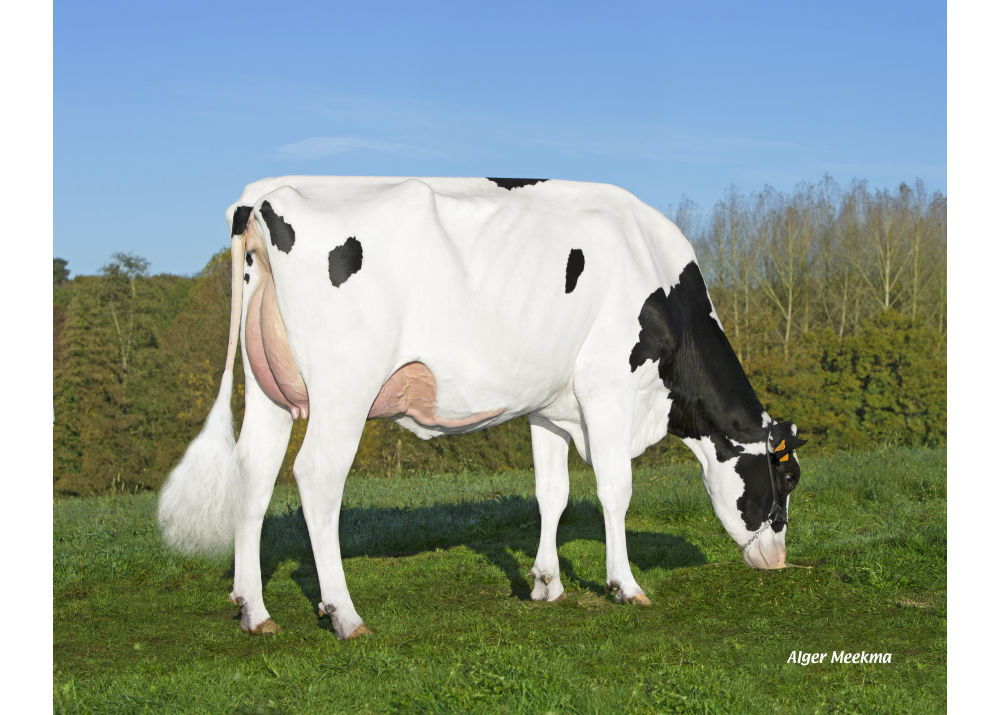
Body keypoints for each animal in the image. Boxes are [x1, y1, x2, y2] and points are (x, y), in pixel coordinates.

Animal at [160, 176, 808, 640]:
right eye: (786, 479)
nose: (779, 561)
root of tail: (264, 197)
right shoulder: (607, 388)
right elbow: (615, 489)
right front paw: (625, 585)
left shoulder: (550, 405)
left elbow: (552, 492)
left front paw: (546, 583)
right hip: (344, 389)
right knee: (317, 478)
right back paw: (344, 614)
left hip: (267, 389)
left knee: (255, 474)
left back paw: (255, 610)